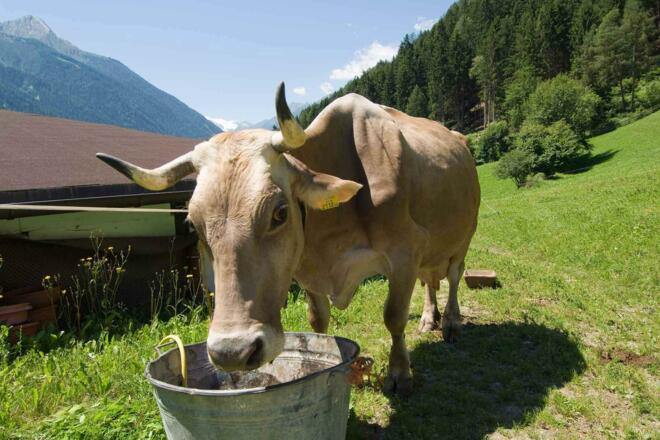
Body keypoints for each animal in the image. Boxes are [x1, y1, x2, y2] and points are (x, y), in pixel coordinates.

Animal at [97, 83, 480, 395]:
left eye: (280, 213)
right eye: (193, 224)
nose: (232, 352)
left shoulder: (404, 252)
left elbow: (394, 317)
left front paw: (399, 374)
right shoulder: (307, 269)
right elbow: (318, 320)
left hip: (463, 238)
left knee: (453, 276)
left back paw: (450, 322)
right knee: (430, 280)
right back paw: (429, 318)